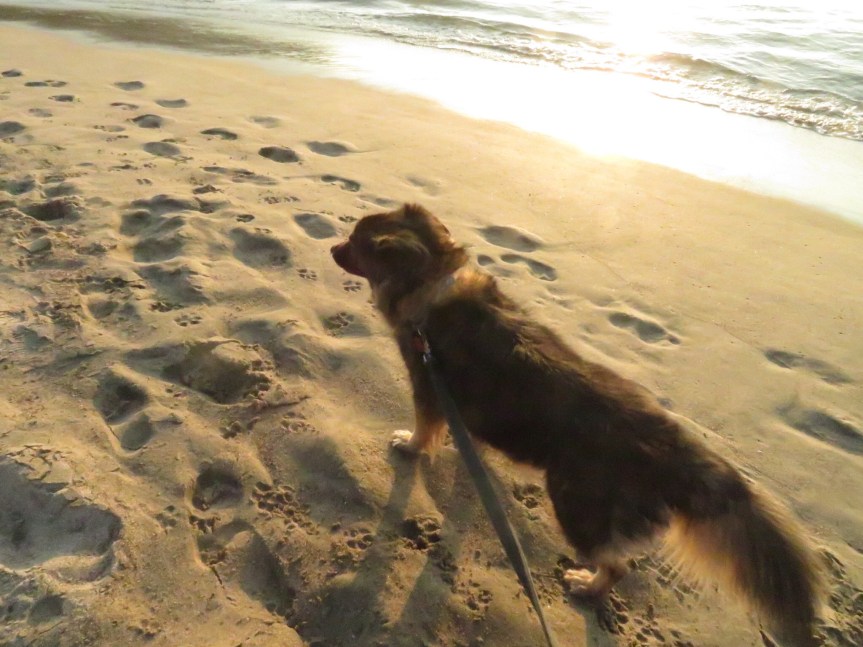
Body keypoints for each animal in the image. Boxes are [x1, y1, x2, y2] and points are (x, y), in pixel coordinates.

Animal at [331, 204, 825, 646]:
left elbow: (422, 429)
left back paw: (587, 586)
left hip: (577, 506)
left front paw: (409, 445)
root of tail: (676, 451)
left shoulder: (427, 384)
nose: (333, 246)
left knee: (618, 564)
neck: (432, 278)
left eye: (354, 243)